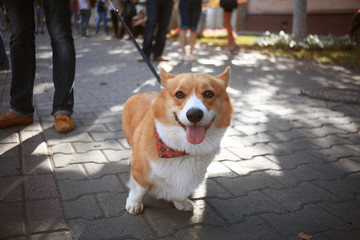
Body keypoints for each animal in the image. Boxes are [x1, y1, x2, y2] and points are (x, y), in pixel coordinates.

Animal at [121, 66, 233, 215]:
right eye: (179, 94)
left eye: (209, 93)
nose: (194, 114)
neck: (182, 149)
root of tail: (140, 93)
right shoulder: (141, 174)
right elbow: (138, 190)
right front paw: (134, 204)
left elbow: (180, 192)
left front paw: (181, 202)